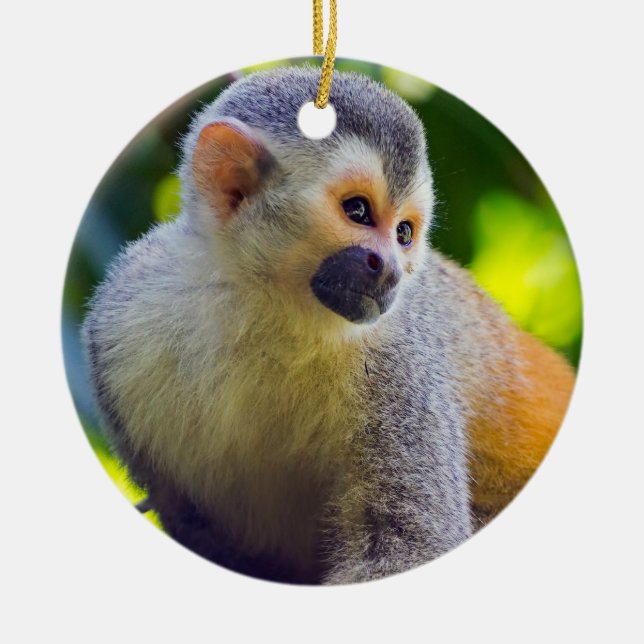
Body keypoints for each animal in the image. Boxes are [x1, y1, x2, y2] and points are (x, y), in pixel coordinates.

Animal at [82, 66, 576, 585]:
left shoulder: (398, 360)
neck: (267, 306)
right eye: (357, 211)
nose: (392, 271)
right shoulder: (123, 319)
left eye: (404, 233)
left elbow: (411, 542)